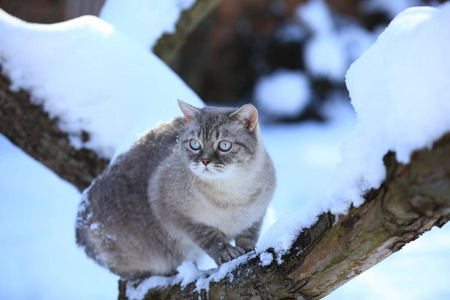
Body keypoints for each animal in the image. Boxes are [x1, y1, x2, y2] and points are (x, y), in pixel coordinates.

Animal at [75, 100, 276, 278]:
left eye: (224, 145)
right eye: (195, 144)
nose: (205, 161)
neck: (231, 194)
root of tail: (79, 226)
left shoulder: (256, 215)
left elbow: (249, 237)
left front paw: (249, 250)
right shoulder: (178, 216)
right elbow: (210, 237)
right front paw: (226, 252)